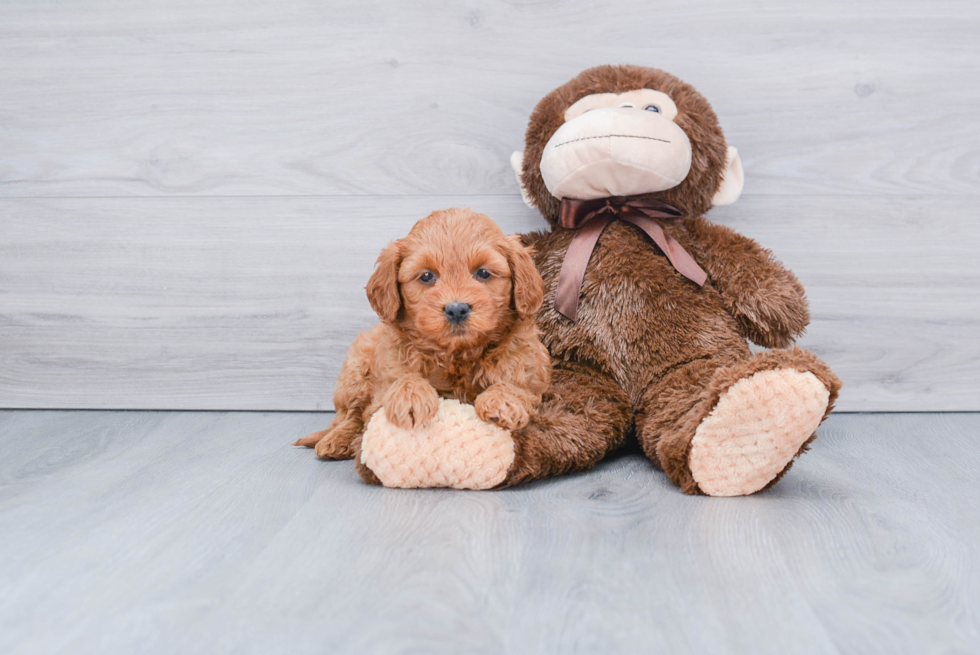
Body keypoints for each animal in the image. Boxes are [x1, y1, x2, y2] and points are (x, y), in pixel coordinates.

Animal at [294, 210, 552, 462]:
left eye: (483, 273)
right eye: (427, 276)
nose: (456, 309)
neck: (457, 354)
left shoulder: (528, 371)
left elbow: (514, 385)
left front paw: (502, 402)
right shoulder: (386, 376)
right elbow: (401, 380)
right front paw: (410, 398)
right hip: (355, 369)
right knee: (350, 415)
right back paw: (336, 439)